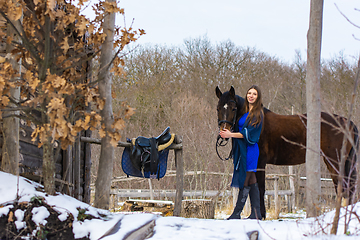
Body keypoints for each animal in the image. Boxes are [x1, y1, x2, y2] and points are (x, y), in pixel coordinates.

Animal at [215, 86, 358, 219]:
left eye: (233, 108)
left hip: (335, 161)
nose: (223, 132)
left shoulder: (260, 162)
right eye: (218, 108)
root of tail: (348, 122)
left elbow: (260, 187)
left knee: (343, 187)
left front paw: (261, 215)